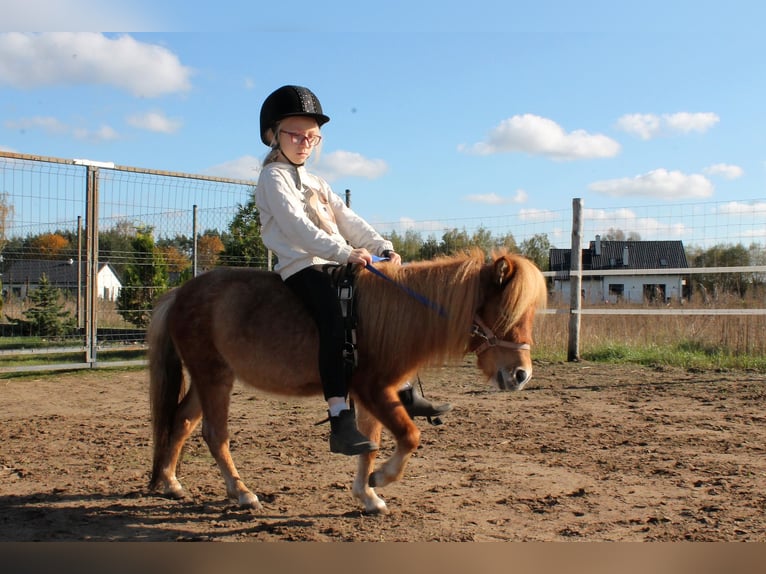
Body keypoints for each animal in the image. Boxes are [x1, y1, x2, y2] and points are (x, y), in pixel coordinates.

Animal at [147, 250, 548, 516]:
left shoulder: (373, 395)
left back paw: (170, 482)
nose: (521, 374)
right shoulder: (373, 389)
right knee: (215, 434)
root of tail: (180, 293)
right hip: (212, 376)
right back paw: (241, 492)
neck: (396, 316)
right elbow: (409, 436)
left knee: (181, 421)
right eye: (506, 312)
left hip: (209, 378)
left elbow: (369, 445)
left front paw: (367, 495)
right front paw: (381, 479)